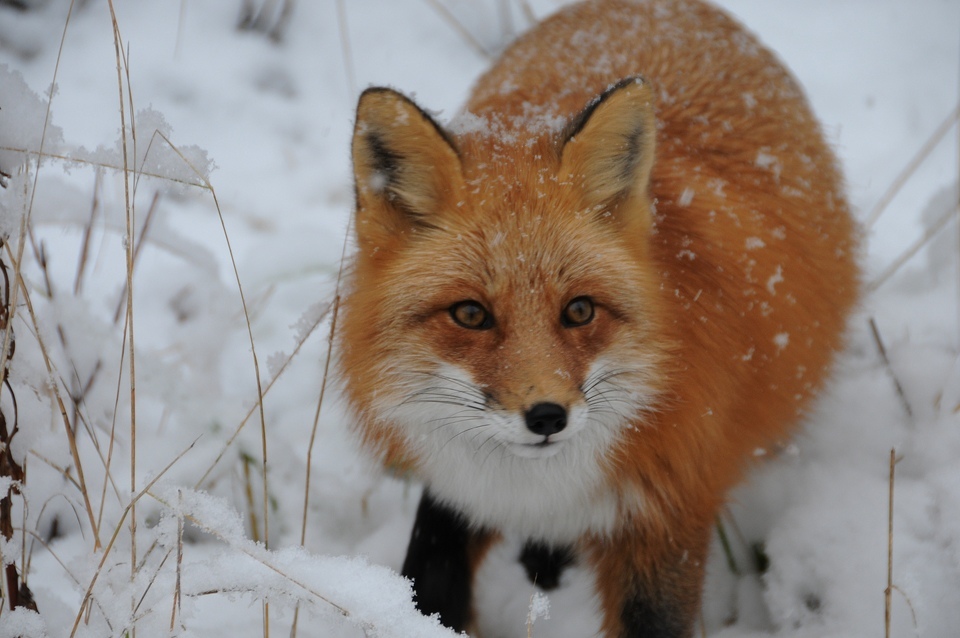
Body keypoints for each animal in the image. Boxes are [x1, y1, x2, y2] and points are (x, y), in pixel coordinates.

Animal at [336, 0, 856, 636]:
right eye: (470, 314)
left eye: (579, 310)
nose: (547, 417)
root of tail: (663, 7)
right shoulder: (456, 490)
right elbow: (429, 581)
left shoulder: (666, 511)